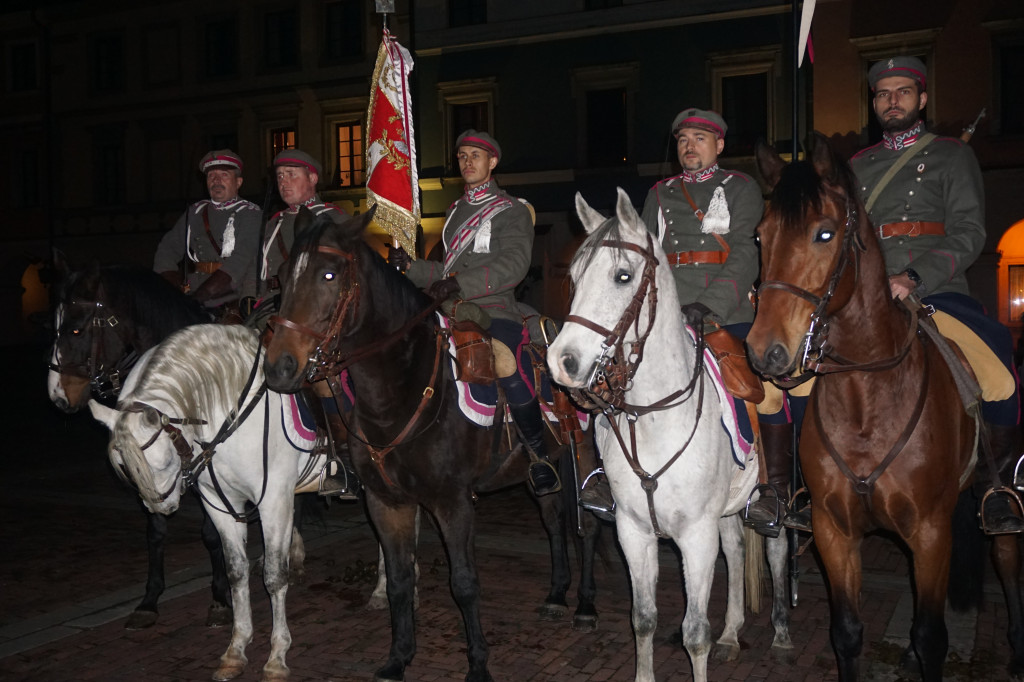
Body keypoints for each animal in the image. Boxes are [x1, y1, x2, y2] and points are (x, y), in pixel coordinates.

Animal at [46, 259, 230, 626]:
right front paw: (150, 599)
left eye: (76, 331)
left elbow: (211, 531)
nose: (57, 396)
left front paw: (219, 596)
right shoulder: (149, 466)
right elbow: (156, 529)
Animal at [94, 323, 323, 679]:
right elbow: (236, 571)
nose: (162, 507)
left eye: (161, 463)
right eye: (125, 469)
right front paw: (236, 648)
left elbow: (274, 576)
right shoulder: (220, 502)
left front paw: (277, 656)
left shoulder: (274, 499)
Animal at [260, 206, 602, 679]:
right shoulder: (387, 503)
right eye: (283, 275)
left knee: (586, 529)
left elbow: (464, 582)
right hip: (542, 469)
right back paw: (555, 594)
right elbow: (400, 582)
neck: (402, 388)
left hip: (582, 458)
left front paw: (477, 663)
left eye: (329, 274)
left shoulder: (452, 501)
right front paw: (399, 656)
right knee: (553, 522)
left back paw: (584, 605)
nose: (279, 367)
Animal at [544, 187, 790, 679]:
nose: (562, 362)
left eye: (623, 276)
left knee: (777, 548)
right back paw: (732, 633)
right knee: (736, 549)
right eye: (575, 277)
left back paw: (780, 633)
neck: (654, 419)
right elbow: (643, 619)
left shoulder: (695, 536)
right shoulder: (633, 531)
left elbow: (694, 633)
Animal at [745, 131, 1024, 675]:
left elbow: (930, 636)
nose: (765, 351)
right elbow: (847, 634)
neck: (865, 402)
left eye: (825, 233)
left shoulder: (931, 535)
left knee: (1005, 552)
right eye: (761, 236)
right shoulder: (834, 531)